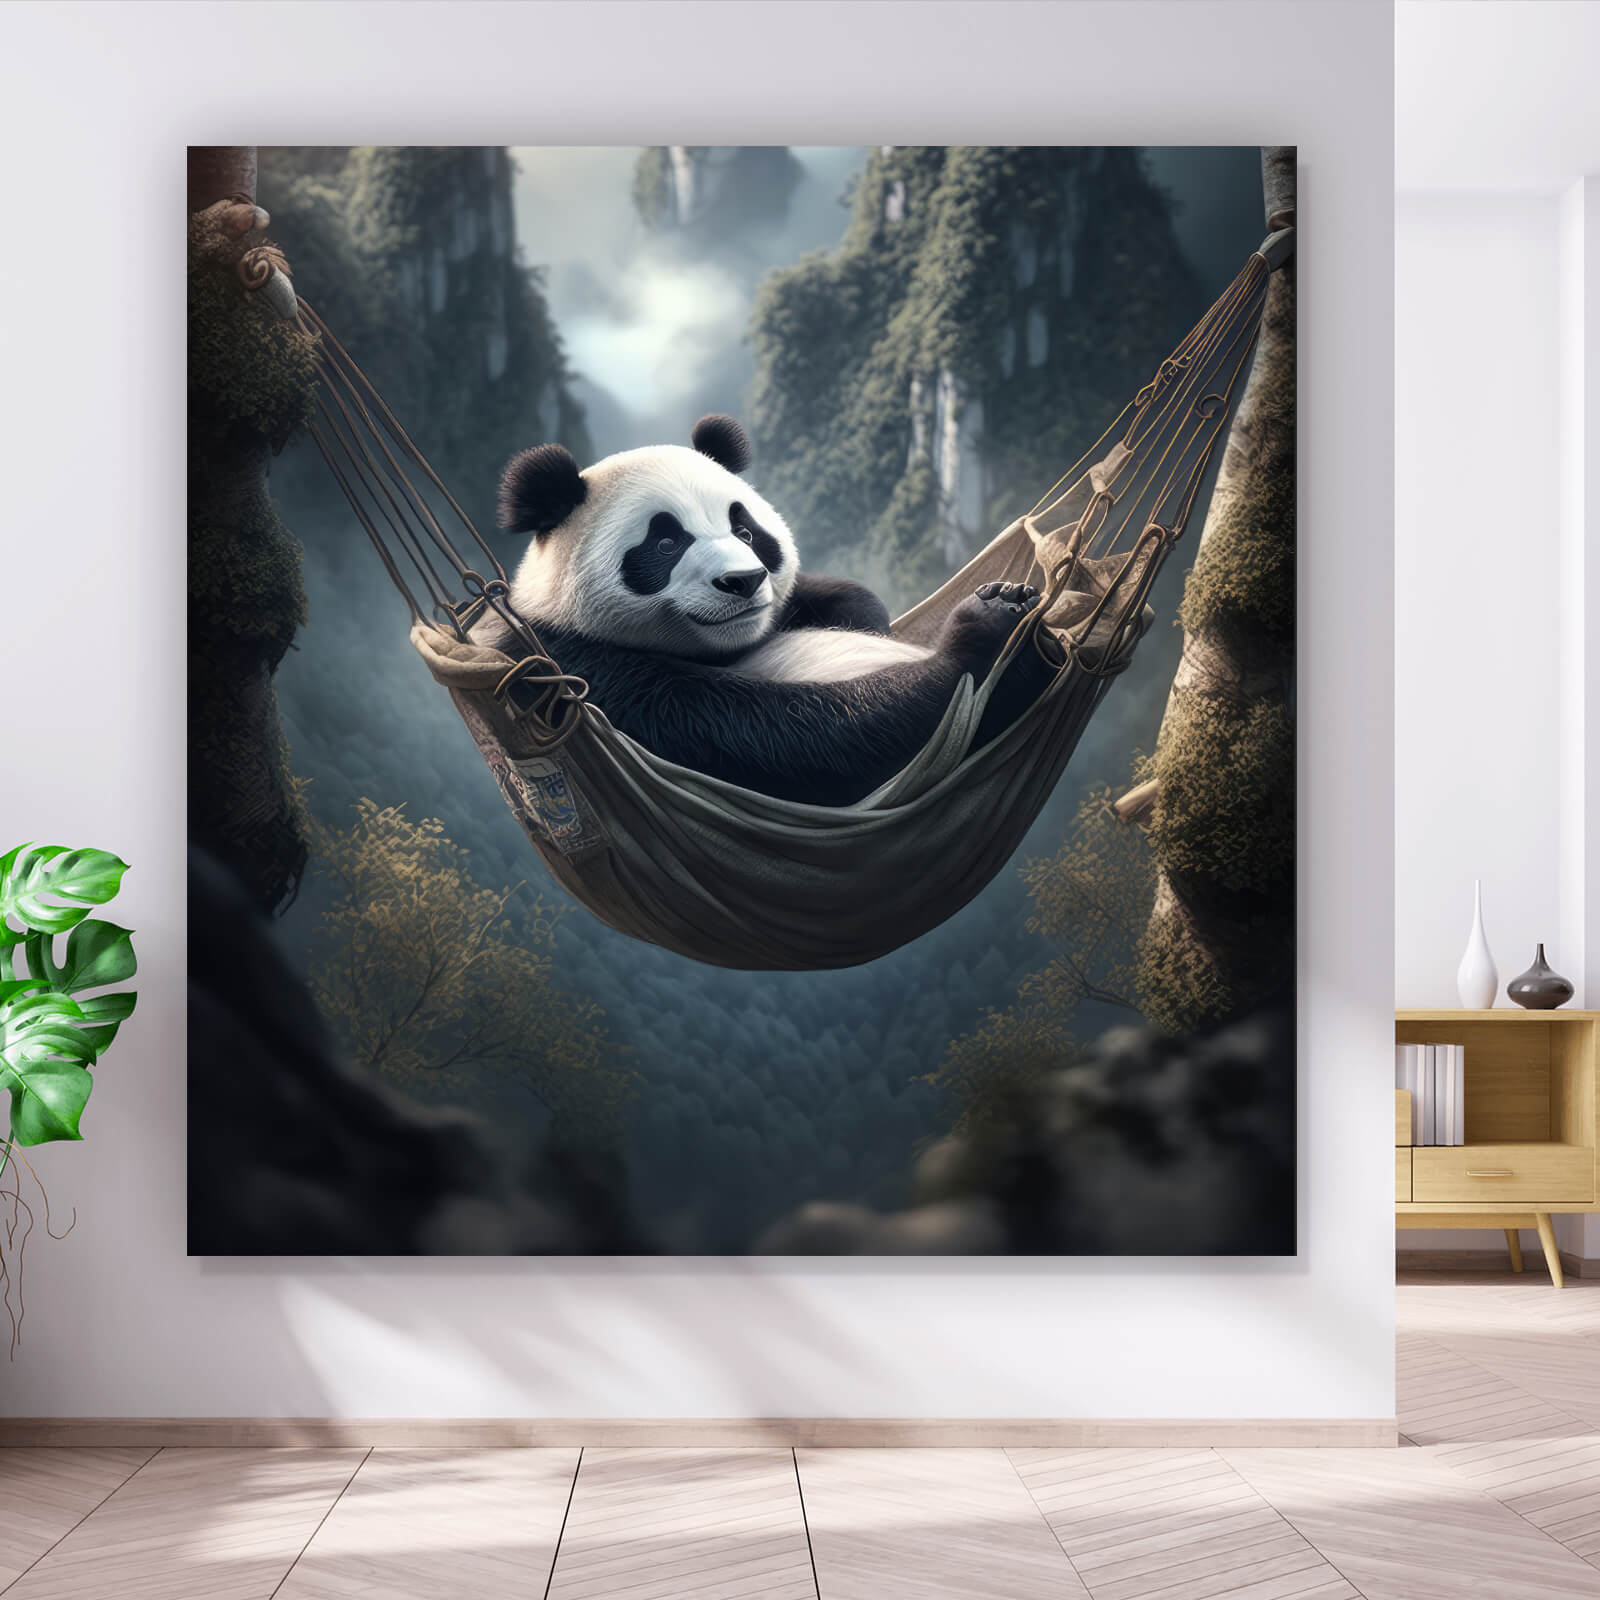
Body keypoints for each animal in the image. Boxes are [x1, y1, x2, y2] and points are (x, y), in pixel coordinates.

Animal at [475, 414, 1058, 808]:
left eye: (746, 531)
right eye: (664, 544)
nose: (743, 581)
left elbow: (839, 600)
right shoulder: (580, 672)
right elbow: (785, 739)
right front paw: (985, 636)